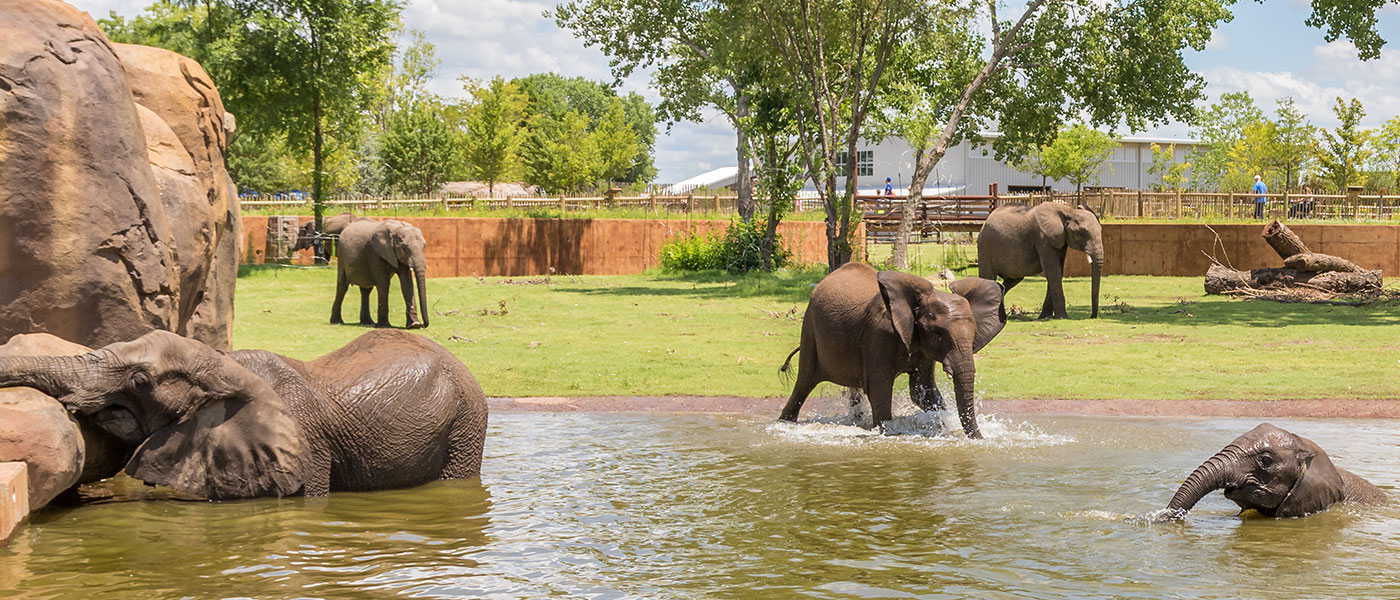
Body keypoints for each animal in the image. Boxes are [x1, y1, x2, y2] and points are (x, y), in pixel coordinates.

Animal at [778, 264, 1008, 436]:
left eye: (974, 334)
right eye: (938, 334)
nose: (979, 438)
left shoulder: (921, 347)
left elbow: (922, 390)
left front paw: (941, 424)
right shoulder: (877, 335)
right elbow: (879, 387)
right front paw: (886, 432)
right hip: (810, 329)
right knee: (804, 382)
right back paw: (784, 423)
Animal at [974, 201, 1103, 317]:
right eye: (1081, 233)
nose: (1092, 316)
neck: (1069, 211)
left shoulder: (1060, 241)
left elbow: (1058, 272)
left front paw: (1045, 316)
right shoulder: (1043, 239)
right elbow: (1053, 272)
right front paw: (1063, 317)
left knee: (1012, 280)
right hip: (985, 247)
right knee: (988, 277)